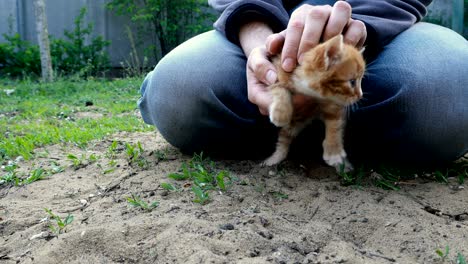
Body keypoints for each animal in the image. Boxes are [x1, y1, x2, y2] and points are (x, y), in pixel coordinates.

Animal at [264, 34, 366, 171]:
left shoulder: (333, 105)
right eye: (352, 82)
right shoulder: (278, 69)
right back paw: (275, 158)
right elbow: (279, 87)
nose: (360, 95)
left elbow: (335, 124)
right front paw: (281, 114)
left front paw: (334, 152)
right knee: (285, 135)